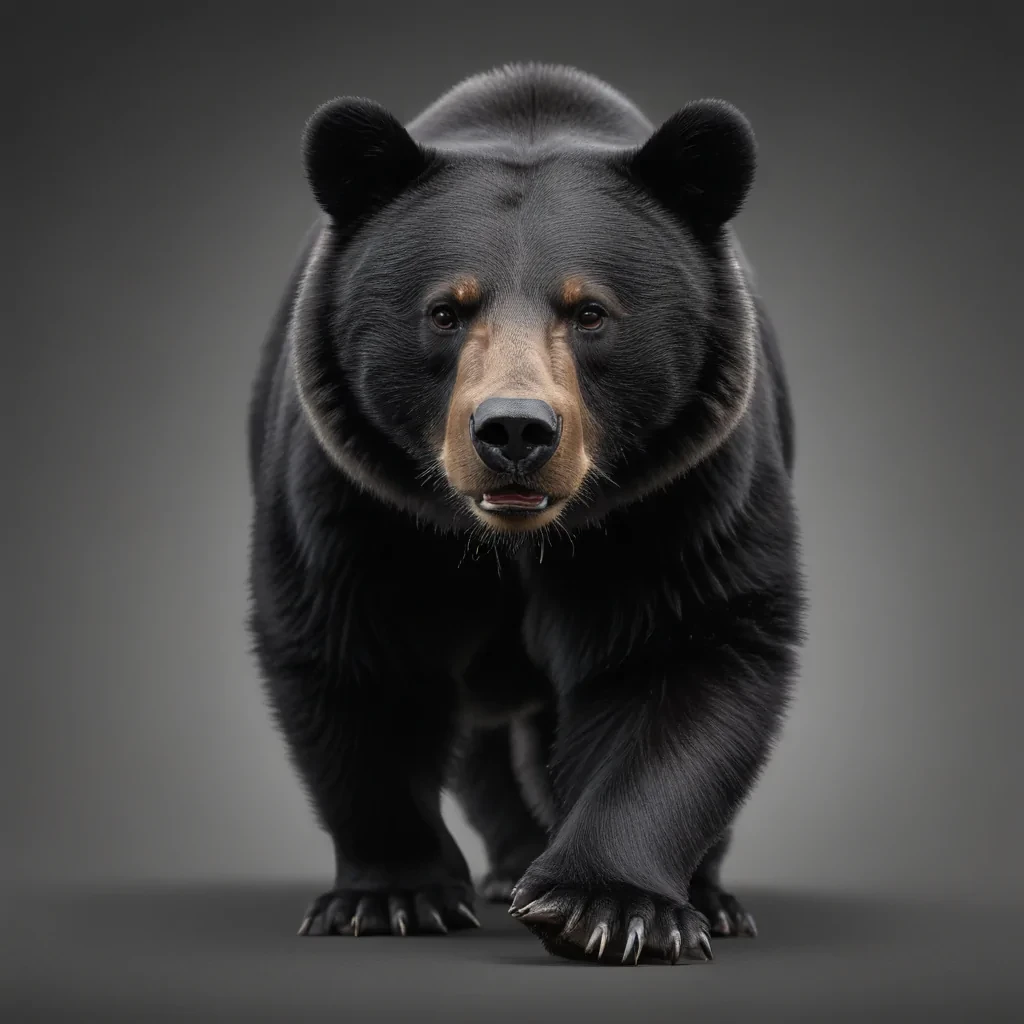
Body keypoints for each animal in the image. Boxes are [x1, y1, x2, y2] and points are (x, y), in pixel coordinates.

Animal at [247, 62, 804, 966]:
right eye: (446, 309)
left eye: (590, 311)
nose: (514, 431)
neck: (512, 541)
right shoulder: (360, 498)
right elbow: (357, 653)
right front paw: (393, 896)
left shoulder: (681, 491)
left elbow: (683, 647)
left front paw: (609, 907)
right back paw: (509, 869)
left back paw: (707, 898)